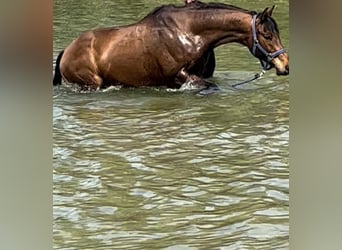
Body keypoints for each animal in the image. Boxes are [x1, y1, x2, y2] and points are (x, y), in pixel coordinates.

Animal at [53, 1, 288, 92]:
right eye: (267, 35)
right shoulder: (178, 75)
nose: (285, 66)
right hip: (91, 83)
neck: (189, 31)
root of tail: (66, 50)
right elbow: (209, 86)